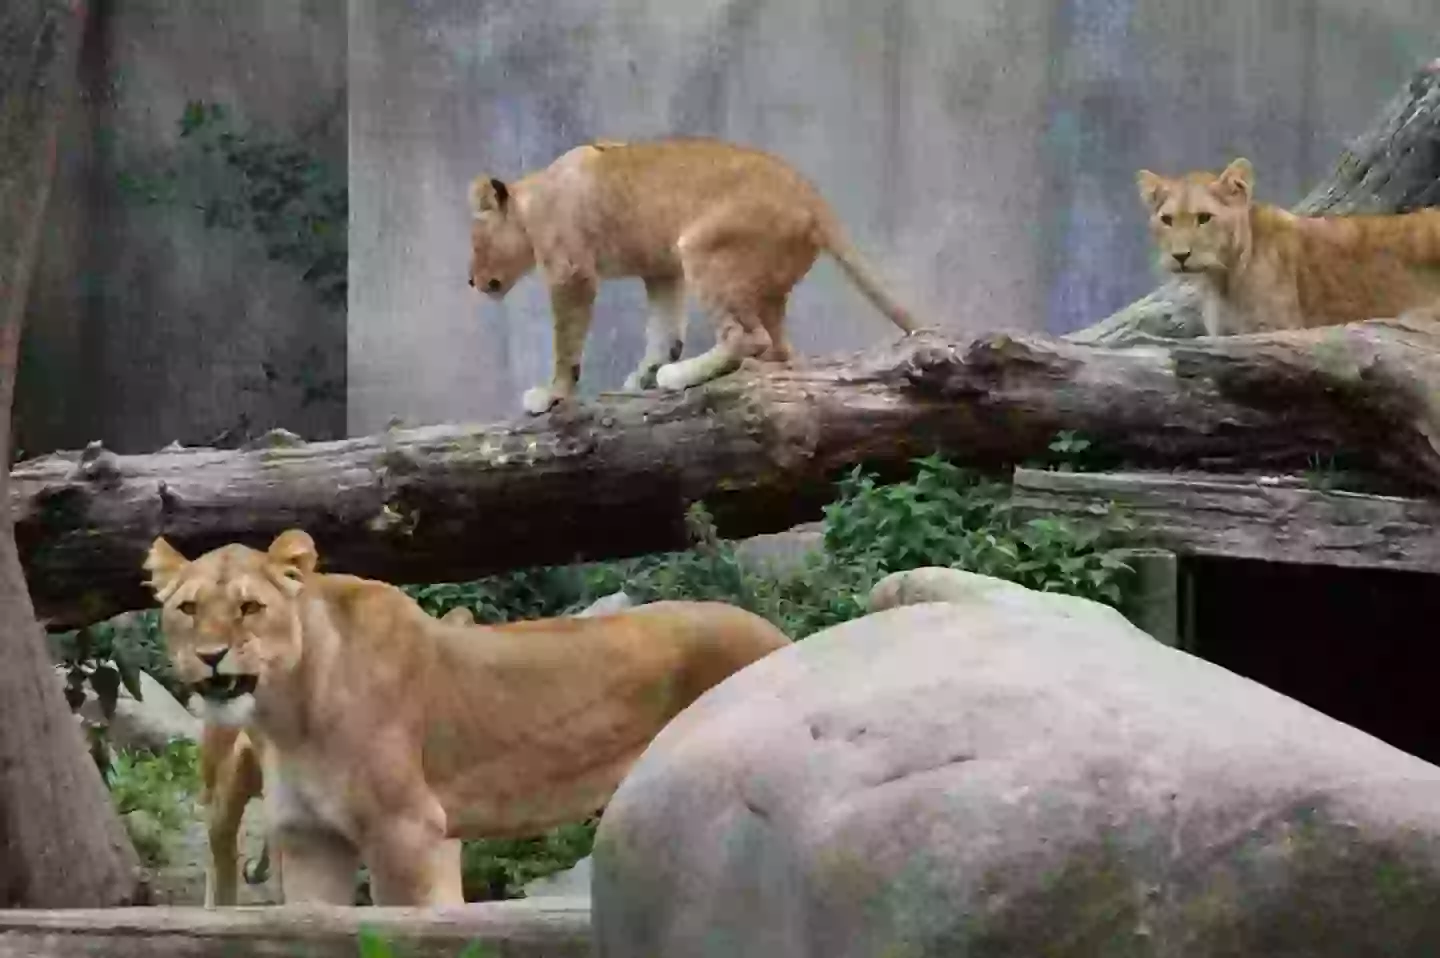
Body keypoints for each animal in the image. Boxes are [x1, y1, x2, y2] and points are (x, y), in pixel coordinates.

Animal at [144, 529, 790, 906]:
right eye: (189, 608)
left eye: (251, 608)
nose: (210, 656)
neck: (287, 714)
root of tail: (781, 636)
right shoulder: (311, 840)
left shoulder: (406, 831)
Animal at [466, 136, 920, 416]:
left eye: (474, 241)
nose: (470, 281)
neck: (532, 201)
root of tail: (812, 196)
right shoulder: (663, 270)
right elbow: (663, 331)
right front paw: (643, 375)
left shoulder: (570, 273)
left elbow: (566, 345)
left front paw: (551, 394)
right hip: (755, 283)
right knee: (780, 349)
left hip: (702, 248)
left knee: (748, 337)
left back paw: (680, 376)